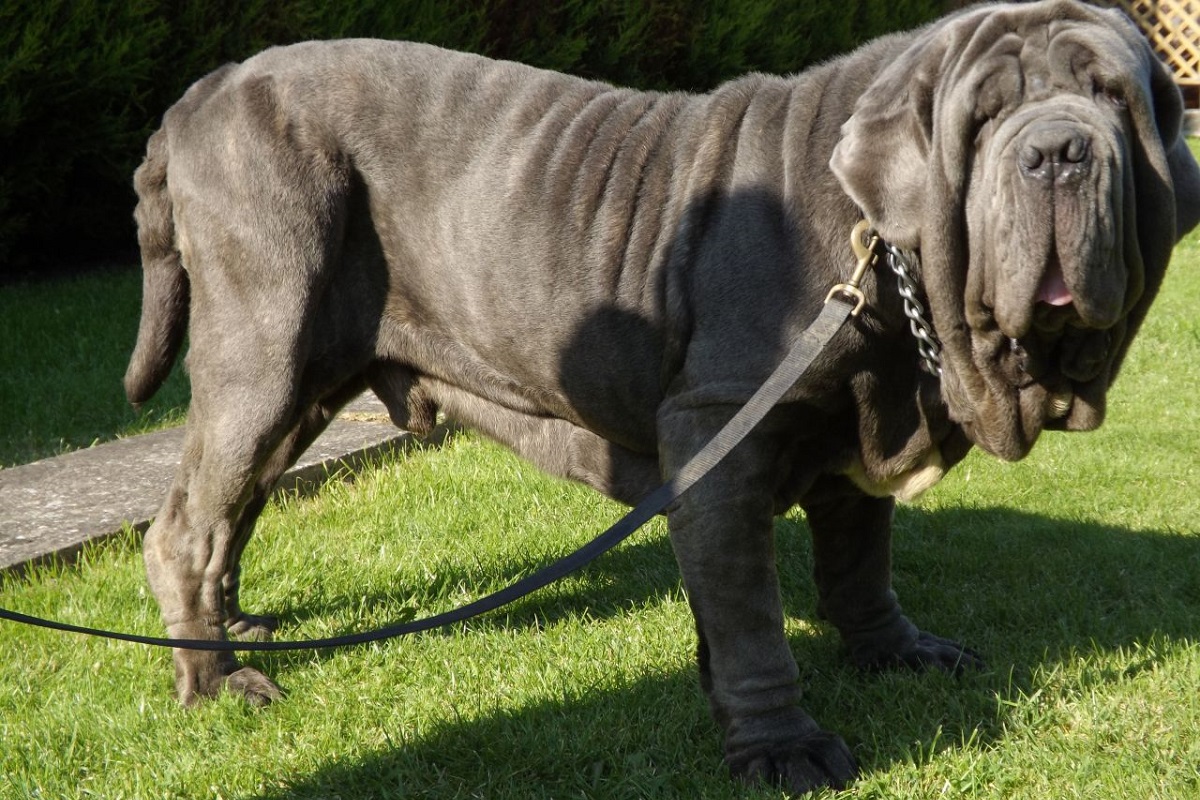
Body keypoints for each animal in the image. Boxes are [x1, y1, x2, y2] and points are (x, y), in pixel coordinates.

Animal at [126, 1, 1195, 796]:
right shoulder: (717, 431)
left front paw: (894, 652)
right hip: (265, 344)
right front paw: (782, 747)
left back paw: (232, 626)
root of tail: (197, 97)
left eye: (1112, 98)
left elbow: (858, 564)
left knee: (234, 504)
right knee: (186, 524)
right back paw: (214, 680)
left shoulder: (864, 423)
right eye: (981, 122)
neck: (882, 254)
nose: (1057, 151)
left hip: (305, 380)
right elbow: (754, 620)